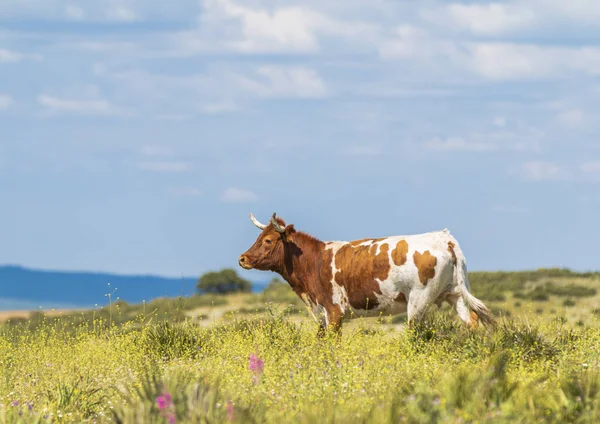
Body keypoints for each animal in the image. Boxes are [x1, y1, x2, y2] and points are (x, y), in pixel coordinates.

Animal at [237, 212, 494, 334]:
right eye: (259, 237)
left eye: (268, 240)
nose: (243, 259)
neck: (314, 260)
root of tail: (442, 237)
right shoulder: (322, 315)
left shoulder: (333, 313)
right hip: (455, 294)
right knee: (472, 322)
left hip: (418, 301)